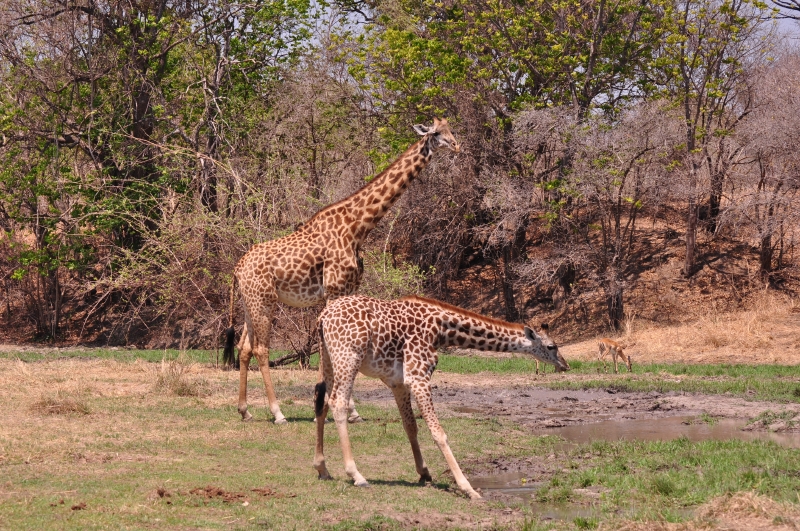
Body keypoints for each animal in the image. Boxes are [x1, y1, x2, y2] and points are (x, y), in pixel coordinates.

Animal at [224, 119, 460, 424]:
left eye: (451, 130)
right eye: (438, 133)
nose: (456, 145)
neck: (358, 226)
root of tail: (237, 268)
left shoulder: (348, 290)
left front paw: (349, 410)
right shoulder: (334, 290)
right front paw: (329, 408)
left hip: (250, 303)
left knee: (244, 348)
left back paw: (245, 410)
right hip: (264, 301)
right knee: (261, 349)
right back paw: (278, 413)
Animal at [312, 294, 569, 500]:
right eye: (552, 346)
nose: (565, 365)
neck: (441, 330)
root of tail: (323, 317)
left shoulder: (399, 382)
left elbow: (411, 426)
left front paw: (424, 473)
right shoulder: (418, 376)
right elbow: (439, 433)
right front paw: (468, 488)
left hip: (328, 358)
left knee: (321, 402)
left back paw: (322, 468)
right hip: (348, 357)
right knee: (338, 403)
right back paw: (356, 475)